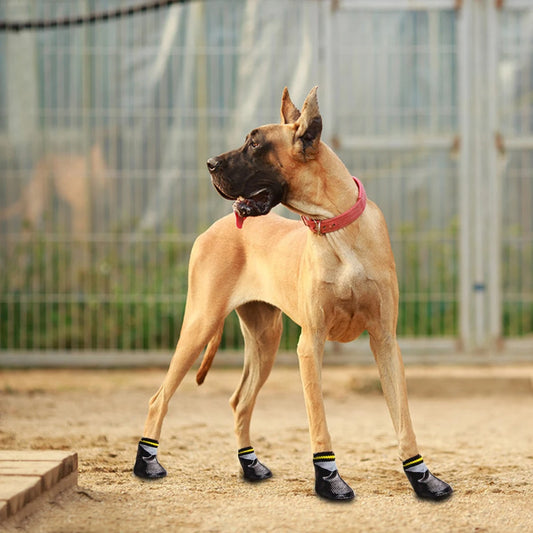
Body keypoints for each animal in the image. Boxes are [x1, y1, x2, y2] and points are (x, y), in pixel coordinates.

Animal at [134, 86, 454, 498]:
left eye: (255, 144)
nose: (208, 163)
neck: (335, 226)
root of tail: (212, 228)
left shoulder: (385, 340)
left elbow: (403, 417)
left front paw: (422, 478)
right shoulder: (310, 343)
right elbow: (318, 420)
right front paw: (329, 480)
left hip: (265, 338)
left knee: (240, 401)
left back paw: (250, 466)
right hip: (200, 324)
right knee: (158, 398)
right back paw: (147, 463)